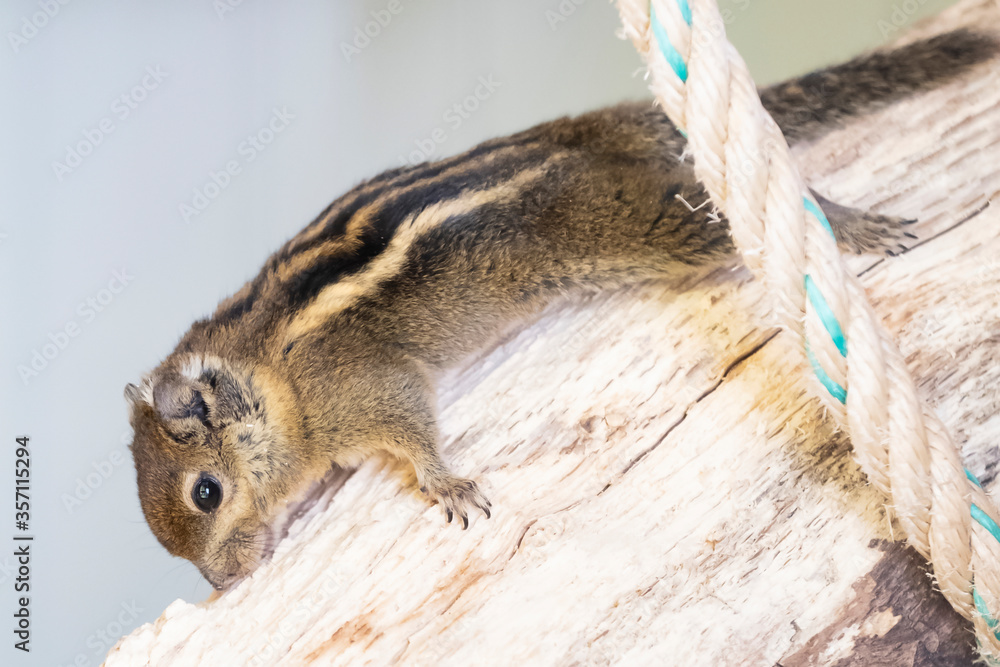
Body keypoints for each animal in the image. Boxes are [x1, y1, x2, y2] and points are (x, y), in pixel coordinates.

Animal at [125, 30, 1000, 588]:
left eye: (207, 492)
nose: (225, 583)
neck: (268, 372)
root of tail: (593, 133)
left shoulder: (367, 389)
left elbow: (414, 431)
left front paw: (448, 482)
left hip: (647, 225)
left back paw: (853, 225)